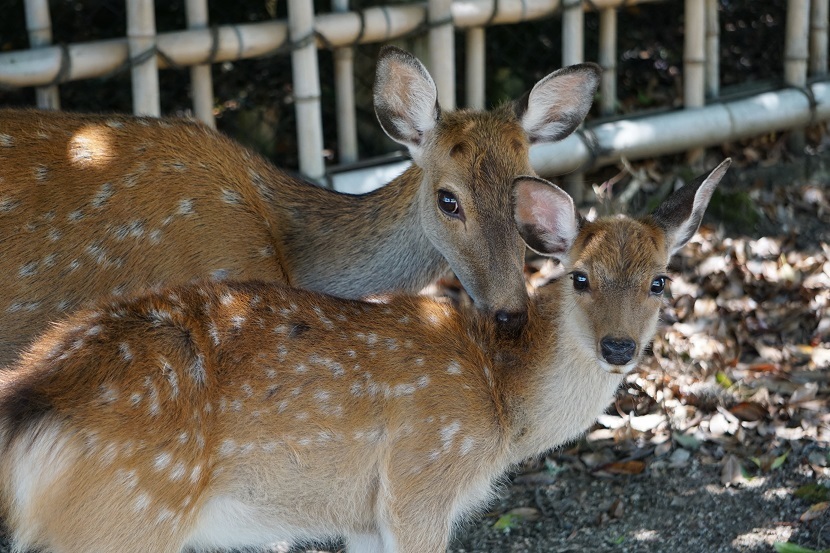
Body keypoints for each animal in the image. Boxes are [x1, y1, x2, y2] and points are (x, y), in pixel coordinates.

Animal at [0, 157, 728, 548]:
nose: (618, 345)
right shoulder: (420, 484)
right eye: (580, 277)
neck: (501, 403)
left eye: (659, 281)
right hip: (127, 515)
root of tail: (32, 394)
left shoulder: (358, 514)